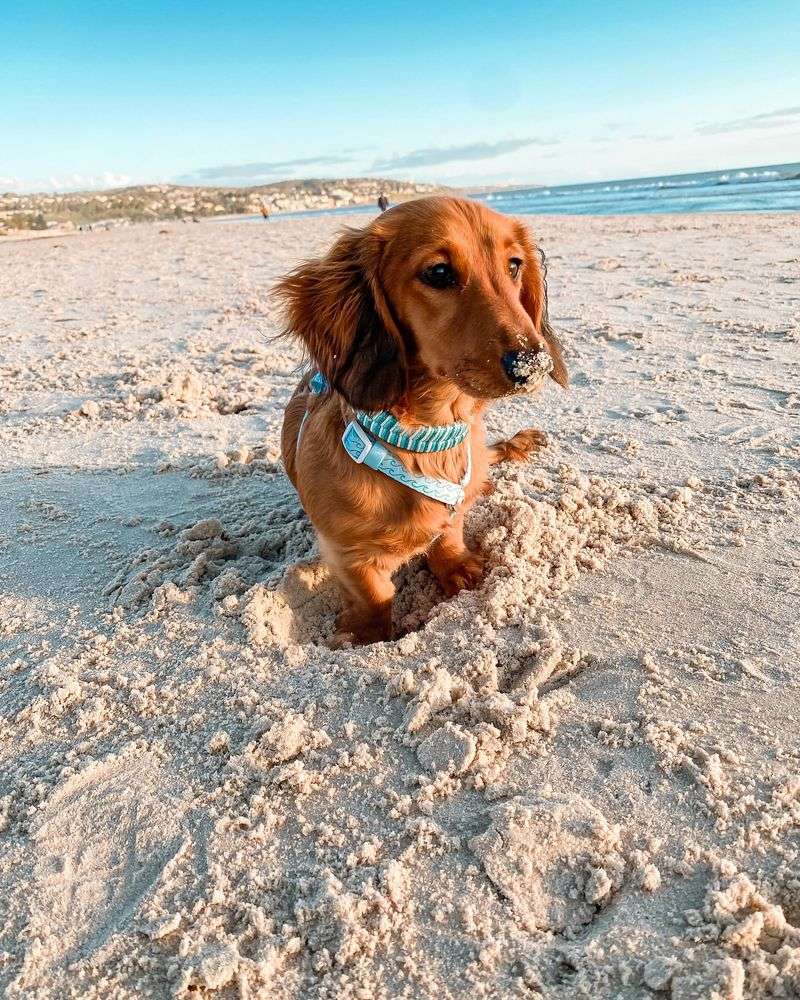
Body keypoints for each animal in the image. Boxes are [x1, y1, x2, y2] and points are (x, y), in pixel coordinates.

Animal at [278, 196, 564, 648]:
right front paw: (368, 634)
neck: (423, 442)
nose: (533, 364)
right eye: (439, 272)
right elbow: (374, 594)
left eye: (515, 264)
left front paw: (459, 568)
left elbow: (448, 535)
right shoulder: (347, 554)